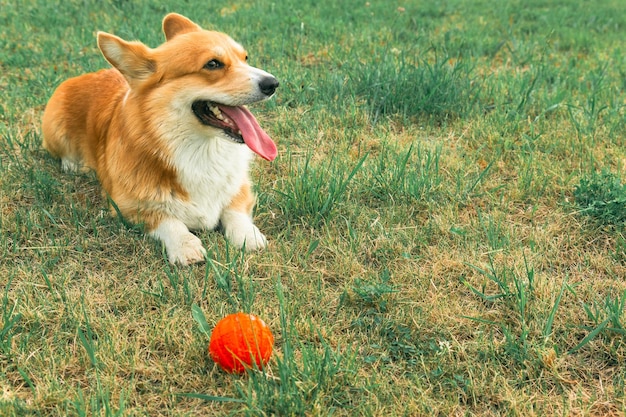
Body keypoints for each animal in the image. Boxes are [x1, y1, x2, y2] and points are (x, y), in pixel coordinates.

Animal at [42, 15, 276, 266]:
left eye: (245, 58)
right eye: (213, 64)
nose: (273, 83)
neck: (200, 151)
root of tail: (85, 75)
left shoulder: (239, 188)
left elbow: (235, 211)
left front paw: (248, 236)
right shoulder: (127, 206)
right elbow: (168, 221)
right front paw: (185, 246)